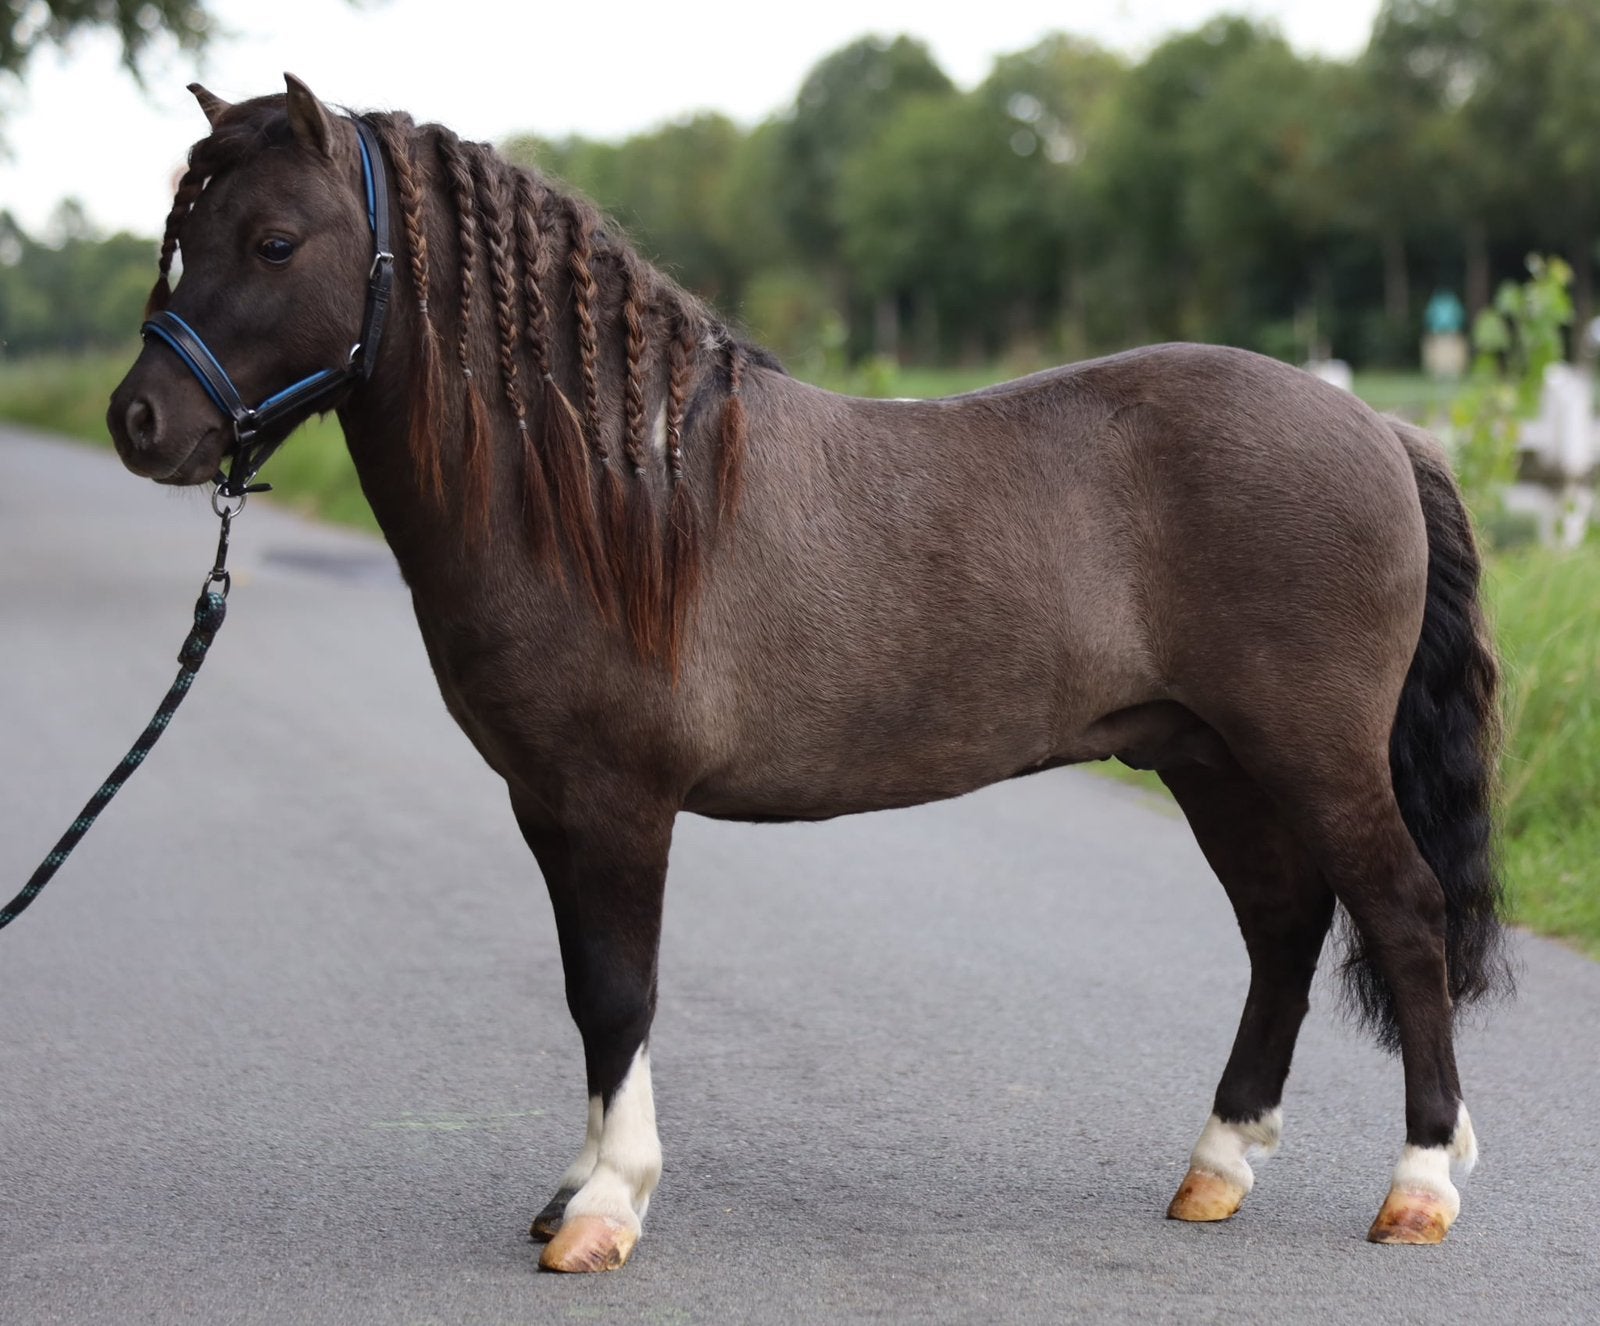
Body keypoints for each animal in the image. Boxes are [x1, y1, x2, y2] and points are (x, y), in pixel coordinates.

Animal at [107, 76, 1509, 1273]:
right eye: (180, 233)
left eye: (274, 241)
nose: (140, 422)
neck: (614, 497)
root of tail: (1375, 427)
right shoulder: (548, 804)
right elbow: (584, 993)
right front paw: (575, 1188)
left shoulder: (616, 803)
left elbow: (619, 988)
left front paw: (606, 1208)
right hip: (1206, 757)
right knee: (1281, 927)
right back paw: (1216, 1167)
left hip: (1310, 753)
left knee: (1400, 912)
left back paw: (1418, 1187)